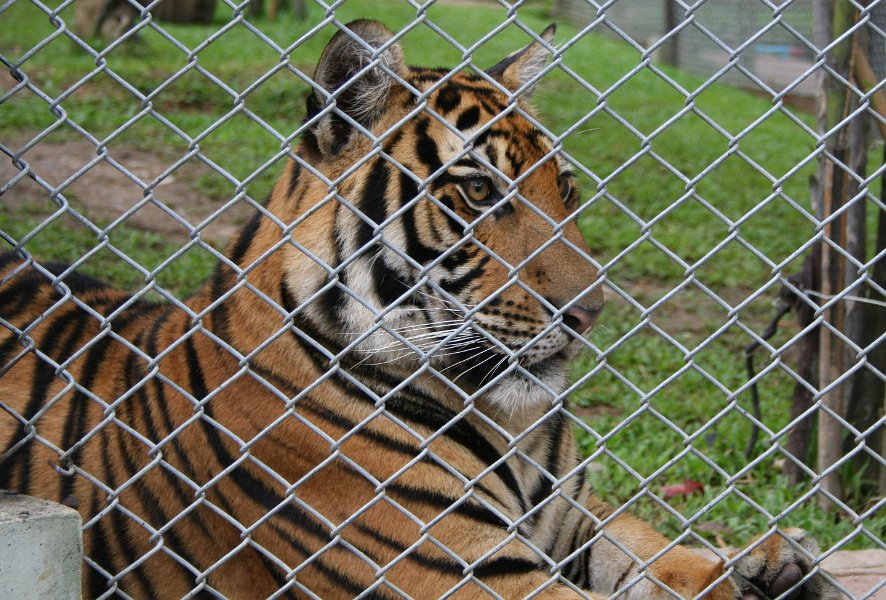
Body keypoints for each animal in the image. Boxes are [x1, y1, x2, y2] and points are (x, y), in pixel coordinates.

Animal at [0, 19, 841, 600]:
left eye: (565, 190)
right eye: (478, 191)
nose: (591, 312)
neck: (509, 423)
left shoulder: (573, 519)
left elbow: (651, 545)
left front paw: (766, 561)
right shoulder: (470, 572)